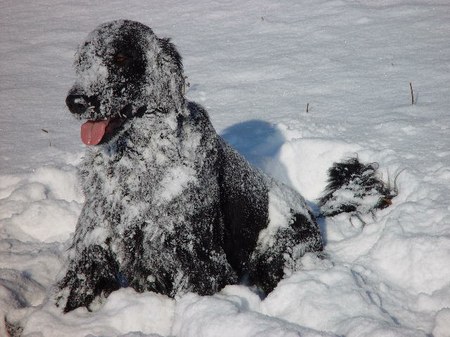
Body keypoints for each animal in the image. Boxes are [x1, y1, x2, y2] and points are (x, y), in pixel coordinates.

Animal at [57, 19, 394, 312]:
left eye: (120, 57)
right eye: (83, 59)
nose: (75, 101)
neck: (138, 162)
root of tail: (311, 211)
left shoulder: (197, 260)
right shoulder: (91, 246)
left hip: (279, 256)